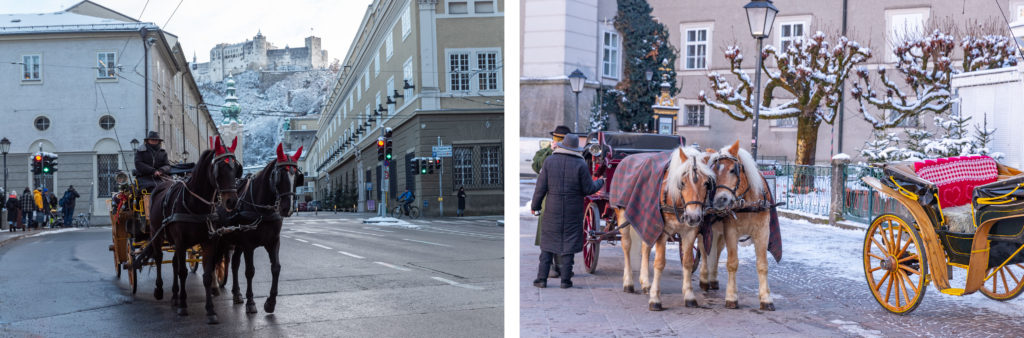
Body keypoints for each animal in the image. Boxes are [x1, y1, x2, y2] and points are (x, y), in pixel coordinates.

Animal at [144, 136, 241, 323]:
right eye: (219, 168)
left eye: (236, 168)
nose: (232, 201)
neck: (195, 204)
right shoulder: (181, 242)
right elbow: (182, 272)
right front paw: (183, 306)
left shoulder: (209, 241)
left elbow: (207, 275)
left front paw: (210, 310)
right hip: (156, 233)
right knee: (159, 259)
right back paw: (160, 290)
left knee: (174, 262)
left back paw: (175, 295)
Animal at [226, 144, 301, 313]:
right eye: (279, 175)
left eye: (297, 177)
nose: (287, 208)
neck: (262, 210)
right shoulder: (248, 245)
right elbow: (250, 271)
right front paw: (251, 302)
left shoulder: (273, 242)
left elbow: (276, 268)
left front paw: (271, 302)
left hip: (237, 243)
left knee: (234, 264)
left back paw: (236, 293)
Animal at [610, 146, 716, 309]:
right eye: (682, 183)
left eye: (706, 183)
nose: (693, 217)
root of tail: (625, 158)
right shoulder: (661, 230)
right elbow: (659, 263)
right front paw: (655, 299)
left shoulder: (690, 232)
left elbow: (687, 262)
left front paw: (689, 296)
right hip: (622, 214)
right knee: (626, 246)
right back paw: (628, 282)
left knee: (645, 247)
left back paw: (645, 282)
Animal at [704, 140, 774, 311]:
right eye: (713, 174)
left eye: (732, 170)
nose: (719, 200)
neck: (746, 204)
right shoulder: (730, 232)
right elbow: (732, 263)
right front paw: (731, 297)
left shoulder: (763, 232)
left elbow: (762, 264)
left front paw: (766, 298)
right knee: (704, 251)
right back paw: (704, 279)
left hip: (719, 233)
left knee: (715, 251)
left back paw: (712, 279)